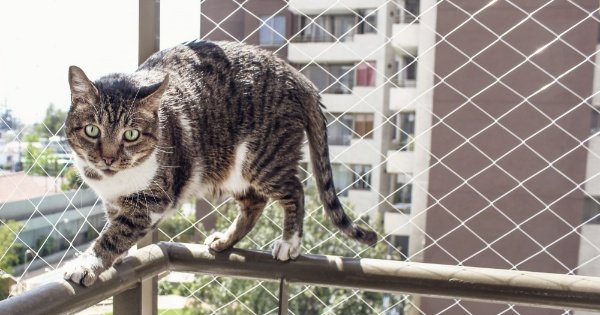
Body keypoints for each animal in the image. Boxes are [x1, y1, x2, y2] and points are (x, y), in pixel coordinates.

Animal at [63, 40, 378, 288]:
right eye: (92, 130)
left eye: (131, 135)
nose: (108, 158)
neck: (115, 180)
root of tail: (297, 76)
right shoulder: (113, 201)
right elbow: (116, 225)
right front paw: (118, 258)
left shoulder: (152, 200)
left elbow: (115, 234)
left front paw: (86, 263)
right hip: (230, 171)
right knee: (254, 204)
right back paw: (225, 241)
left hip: (263, 160)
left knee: (295, 191)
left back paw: (289, 242)